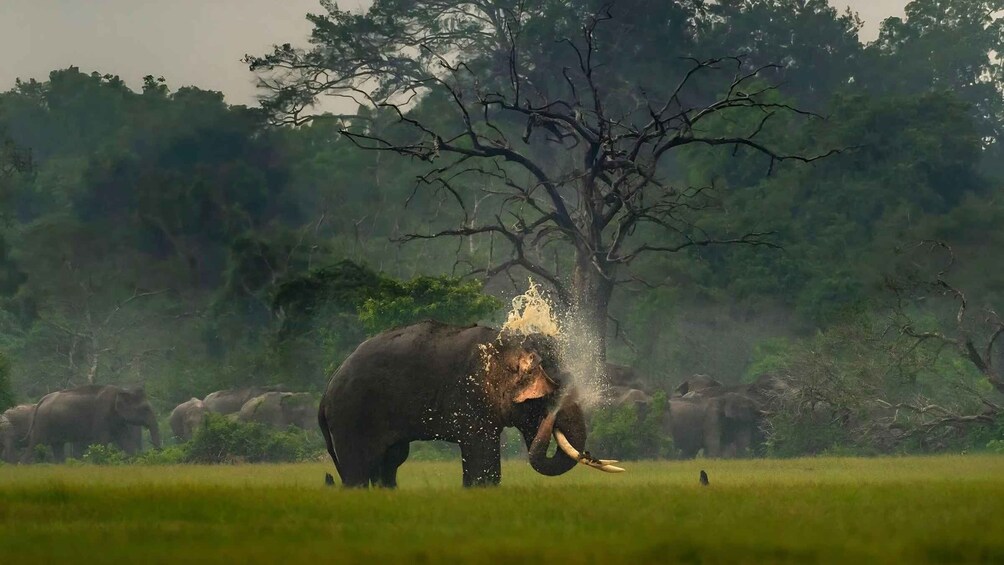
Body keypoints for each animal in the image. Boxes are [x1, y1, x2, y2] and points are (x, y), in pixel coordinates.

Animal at [22, 385, 161, 463]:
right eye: (145, 409)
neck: (122, 390)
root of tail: (42, 400)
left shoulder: (118, 422)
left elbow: (126, 441)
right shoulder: (102, 416)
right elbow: (102, 441)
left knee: (58, 447)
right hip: (42, 424)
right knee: (35, 444)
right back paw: (24, 464)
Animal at [318, 321, 622, 488]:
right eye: (549, 396)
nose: (551, 418)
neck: (505, 346)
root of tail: (327, 390)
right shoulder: (471, 396)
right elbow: (481, 454)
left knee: (390, 462)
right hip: (353, 416)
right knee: (360, 468)